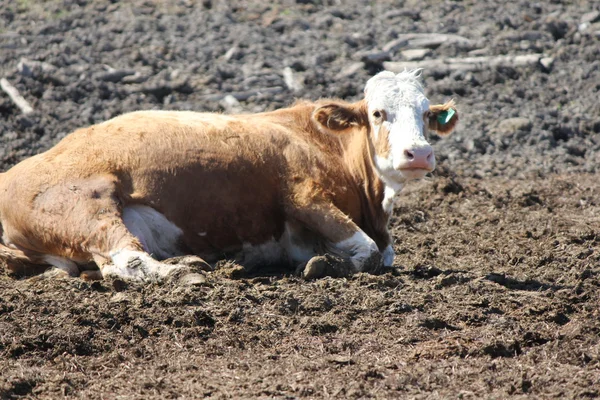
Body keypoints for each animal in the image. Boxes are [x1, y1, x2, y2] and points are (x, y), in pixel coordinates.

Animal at [0, 69, 458, 282]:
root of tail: (13, 174)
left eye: (426, 114)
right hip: (86, 206)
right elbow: (368, 252)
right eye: (378, 113)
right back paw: (182, 273)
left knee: (111, 266)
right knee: (128, 259)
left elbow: (382, 253)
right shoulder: (303, 196)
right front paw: (325, 264)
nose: (419, 154)